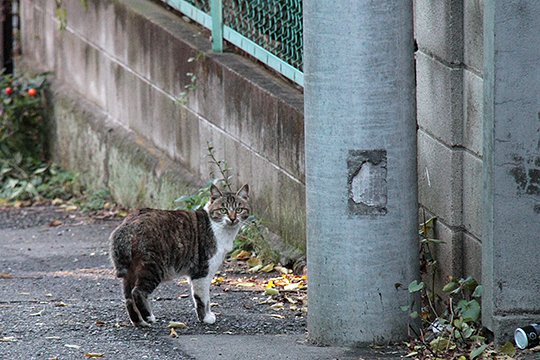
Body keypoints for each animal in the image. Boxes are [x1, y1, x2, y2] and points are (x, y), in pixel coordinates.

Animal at [110, 183, 253, 326]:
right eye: (223, 210)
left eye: (239, 209)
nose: (233, 218)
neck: (221, 230)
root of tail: (127, 224)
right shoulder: (202, 272)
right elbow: (203, 298)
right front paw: (205, 318)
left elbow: (203, 299)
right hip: (153, 267)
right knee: (137, 292)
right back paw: (148, 317)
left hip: (131, 271)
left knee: (128, 297)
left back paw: (139, 322)